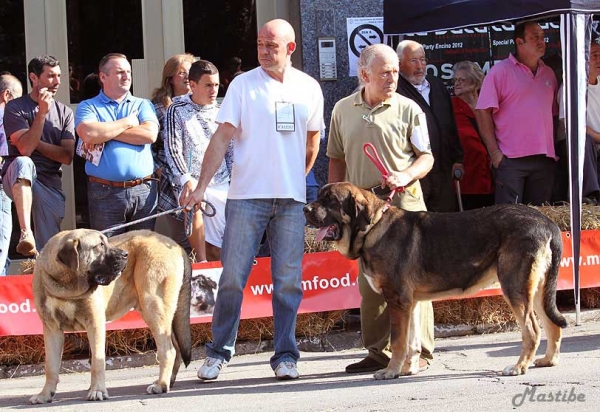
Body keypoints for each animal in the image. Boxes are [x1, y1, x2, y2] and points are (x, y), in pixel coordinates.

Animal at [29, 230, 192, 404]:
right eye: (100, 245)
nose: (125, 254)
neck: (66, 286)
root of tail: (176, 245)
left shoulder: (95, 324)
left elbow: (97, 361)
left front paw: (97, 391)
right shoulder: (51, 329)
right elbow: (51, 366)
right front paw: (45, 394)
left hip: (153, 307)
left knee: (168, 350)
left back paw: (160, 385)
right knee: (176, 348)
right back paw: (168, 381)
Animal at [304, 183, 568, 380]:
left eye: (331, 200)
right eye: (319, 197)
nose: (305, 209)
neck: (372, 228)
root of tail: (548, 222)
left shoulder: (396, 300)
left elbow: (398, 341)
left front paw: (390, 371)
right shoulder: (410, 303)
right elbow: (412, 341)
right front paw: (407, 369)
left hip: (515, 287)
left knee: (532, 330)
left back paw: (518, 367)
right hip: (536, 290)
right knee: (551, 325)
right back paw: (548, 360)